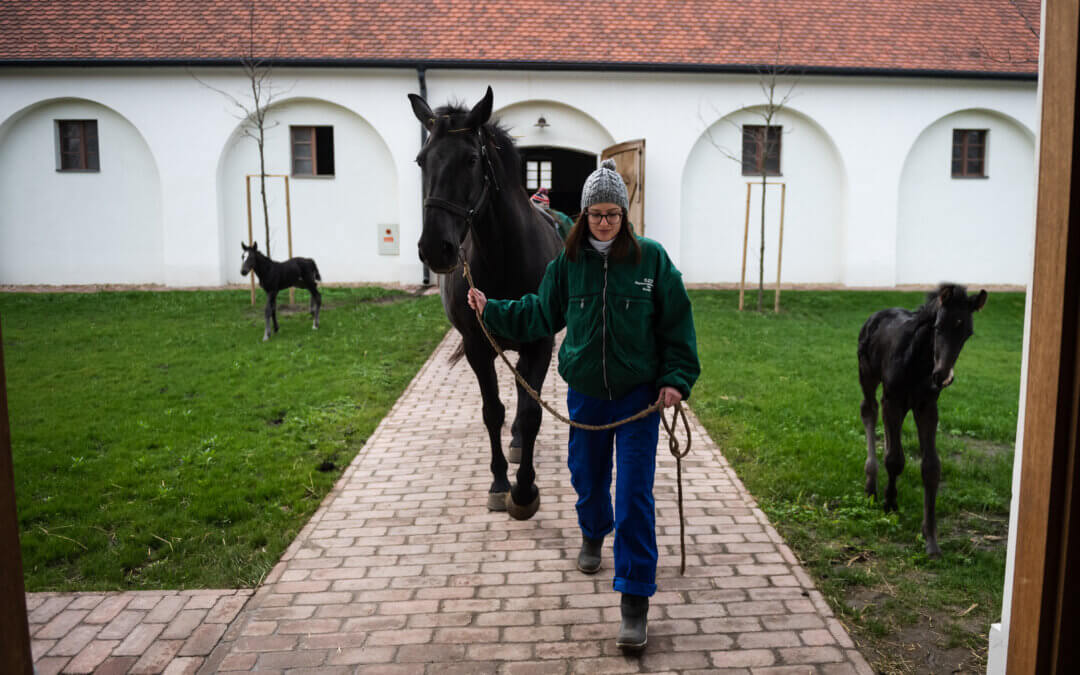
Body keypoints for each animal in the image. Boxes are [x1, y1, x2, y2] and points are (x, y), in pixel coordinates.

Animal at [410, 86, 565, 518]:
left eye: (471, 159)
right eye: (421, 160)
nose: (436, 248)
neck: (504, 258)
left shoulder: (540, 343)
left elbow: (531, 412)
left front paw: (525, 490)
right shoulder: (478, 347)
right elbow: (492, 411)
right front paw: (499, 483)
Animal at [859, 280, 989, 557]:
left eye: (967, 333)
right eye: (938, 327)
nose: (942, 376)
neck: (917, 360)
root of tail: (876, 314)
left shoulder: (927, 406)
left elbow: (931, 467)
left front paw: (930, 538)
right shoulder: (893, 399)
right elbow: (895, 459)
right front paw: (889, 502)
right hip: (868, 376)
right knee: (869, 411)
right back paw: (871, 484)